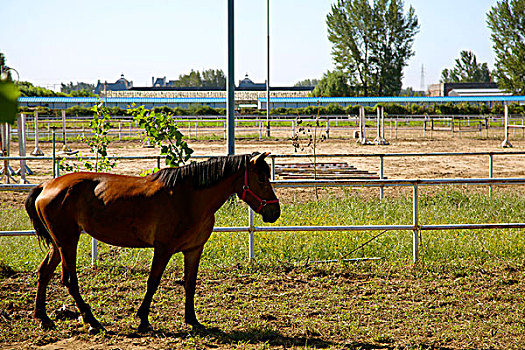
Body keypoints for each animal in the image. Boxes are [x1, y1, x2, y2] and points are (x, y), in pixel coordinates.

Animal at [24, 152, 278, 332]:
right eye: (261, 179)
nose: (275, 212)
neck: (189, 198)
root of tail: (46, 186)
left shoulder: (194, 250)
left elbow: (190, 284)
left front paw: (192, 320)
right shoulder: (163, 249)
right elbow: (153, 282)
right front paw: (143, 320)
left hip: (59, 243)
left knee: (44, 272)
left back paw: (43, 318)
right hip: (67, 242)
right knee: (70, 280)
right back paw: (92, 320)